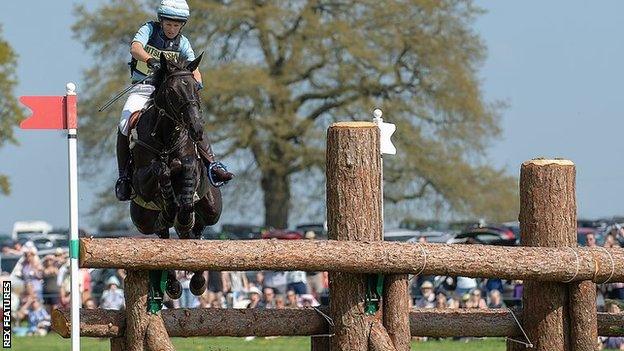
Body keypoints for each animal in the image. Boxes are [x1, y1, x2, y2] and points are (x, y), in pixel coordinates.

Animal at [128, 53, 223, 300]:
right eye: (172, 91)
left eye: (196, 88)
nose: (197, 128)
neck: (165, 136)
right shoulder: (141, 181)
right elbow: (160, 171)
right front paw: (170, 203)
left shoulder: (193, 166)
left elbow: (187, 168)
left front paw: (182, 210)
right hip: (143, 220)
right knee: (162, 236)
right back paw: (172, 283)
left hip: (211, 208)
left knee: (196, 230)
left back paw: (197, 279)